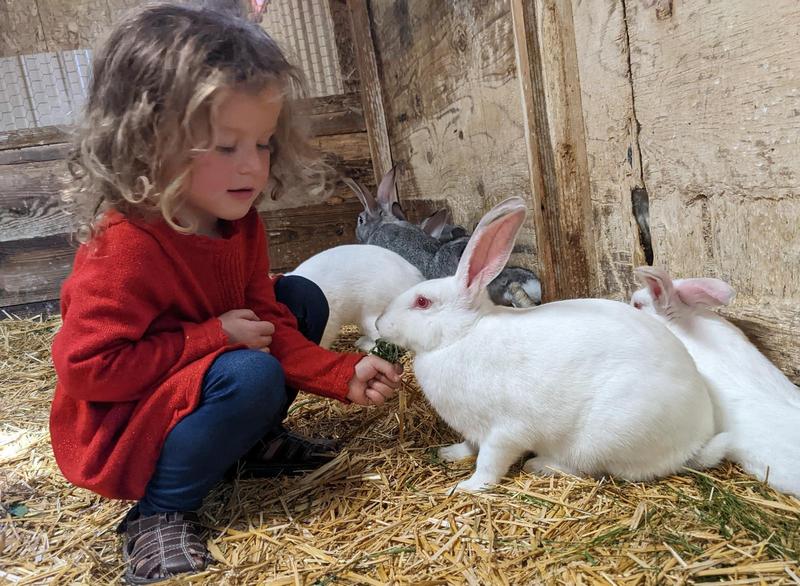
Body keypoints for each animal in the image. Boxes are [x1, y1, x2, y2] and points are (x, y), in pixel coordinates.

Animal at [376, 197, 724, 492]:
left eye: (422, 302)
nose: (380, 323)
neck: (463, 335)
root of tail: (697, 437)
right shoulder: (474, 429)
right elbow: (470, 447)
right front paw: (449, 452)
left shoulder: (504, 431)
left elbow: (489, 463)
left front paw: (467, 487)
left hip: (604, 438)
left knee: (591, 468)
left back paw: (539, 464)